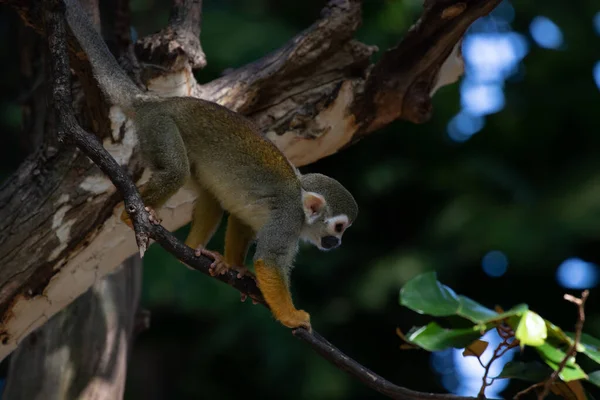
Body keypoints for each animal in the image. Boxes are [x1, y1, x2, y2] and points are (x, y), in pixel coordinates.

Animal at [64, 0, 360, 330]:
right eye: (339, 227)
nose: (337, 242)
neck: (299, 200)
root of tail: (153, 100)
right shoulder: (287, 220)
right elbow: (269, 263)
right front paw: (292, 316)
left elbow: (242, 219)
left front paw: (235, 266)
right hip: (159, 127)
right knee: (176, 171)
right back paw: (132, 216)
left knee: (211, 195)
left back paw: (193, 250)